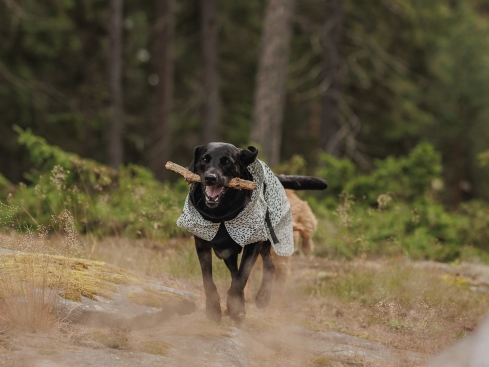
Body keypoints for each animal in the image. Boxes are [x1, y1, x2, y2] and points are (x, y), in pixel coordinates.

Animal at [177, 144, 326, 322]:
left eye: (227, 162)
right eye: (204, 159)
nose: (210, 178)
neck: (222, 212)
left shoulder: (253, 244)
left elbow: (242, 276)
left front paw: (236, 308)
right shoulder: (203, 244)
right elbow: (209, 279)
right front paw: (214, 309)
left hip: (268, 242)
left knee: (270, 267)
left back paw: (263, 297)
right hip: (229, 251)